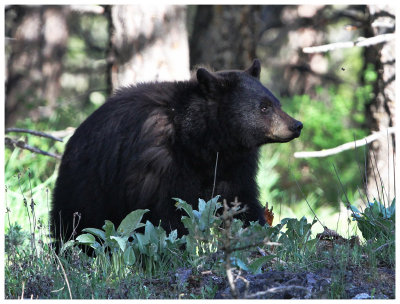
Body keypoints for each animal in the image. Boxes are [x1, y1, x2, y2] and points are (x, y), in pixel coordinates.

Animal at [50, 60, 302, 242]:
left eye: (276, 103)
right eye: (264, 107)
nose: (296, 125)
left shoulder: (234, 164)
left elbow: (239, 198)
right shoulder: (161, 163)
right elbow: (171, 210)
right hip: (88, 184)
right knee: (77, 221)